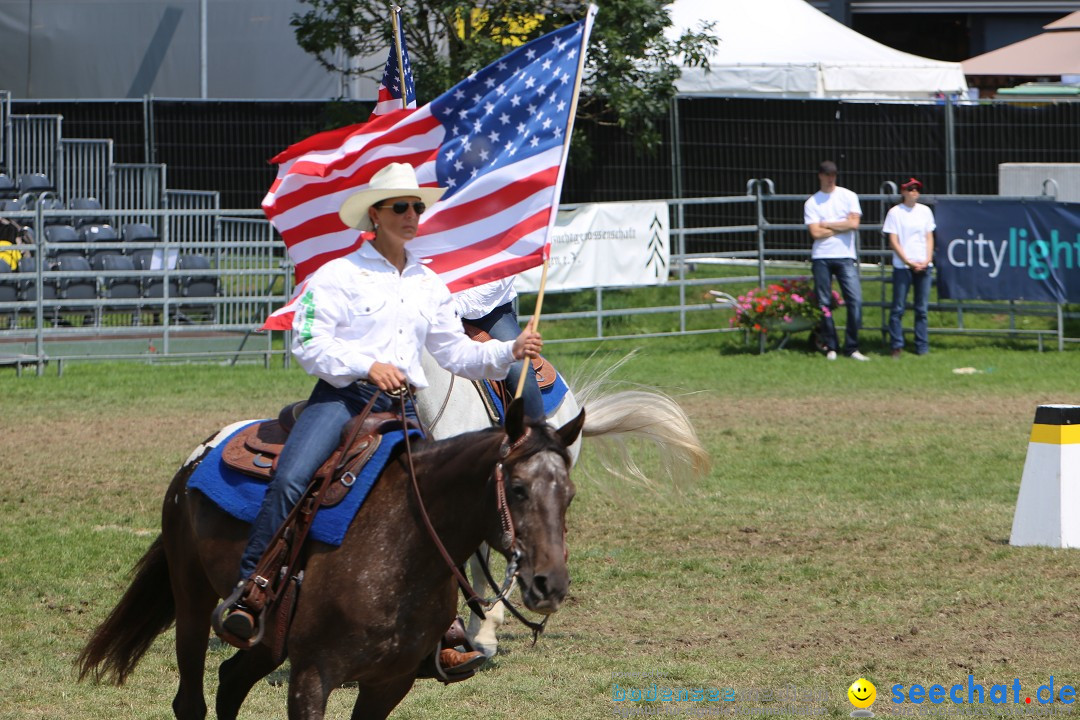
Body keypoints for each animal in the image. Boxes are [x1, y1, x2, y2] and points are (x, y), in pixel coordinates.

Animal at [77, 399, 587, 720]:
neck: (400, 546)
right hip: (192, 597)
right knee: (191, 701)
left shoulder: (391, 682)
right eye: (517, 489)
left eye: (569, 494)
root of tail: (197, 457)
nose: (551, 584)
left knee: (231, 681)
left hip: (268, 638)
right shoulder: (312, 676)